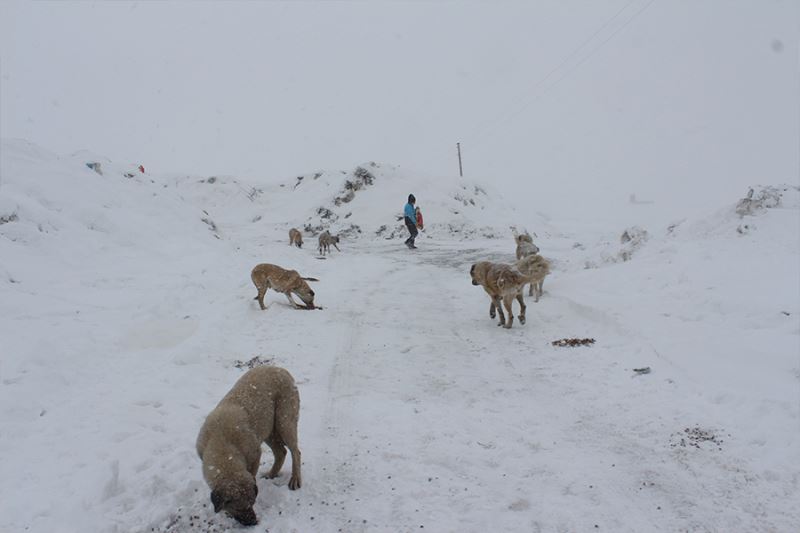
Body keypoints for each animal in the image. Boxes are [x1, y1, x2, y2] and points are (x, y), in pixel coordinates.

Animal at [197, 366, 304, 524]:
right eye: (238, 508)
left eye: (252, 503)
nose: (254, 521)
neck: (222, 443)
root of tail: (282, 369)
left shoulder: (255, 454)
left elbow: (252, 474)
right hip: (268, 429)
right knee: (281, 452)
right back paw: (271, 474)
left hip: (284, 422)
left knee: (295, 451)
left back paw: (295, 479)